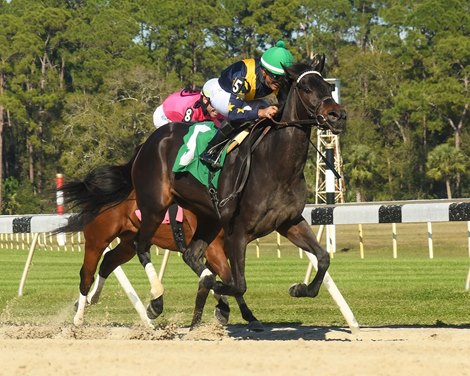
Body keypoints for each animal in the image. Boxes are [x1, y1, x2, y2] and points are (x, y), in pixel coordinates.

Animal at [57, 162, 260, 328]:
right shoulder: (213, 248)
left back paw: (91, 299)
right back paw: (79, 317)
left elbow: (216, 278)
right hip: (97, 240)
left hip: (128, 243)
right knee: (87, 274)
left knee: (108, 261)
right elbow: (227, 278)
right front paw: (243, 314)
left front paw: (227, 310)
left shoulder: (218, 250)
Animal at [129, 57, 346, 324]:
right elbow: (237, 283)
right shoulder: (237, 232)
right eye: (305, 88)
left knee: (190, 254)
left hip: (208, 217)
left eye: (328, 87)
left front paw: (299, 288)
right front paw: (222, 298)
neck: (275, 164)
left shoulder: (289, 221)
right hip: (154, 207)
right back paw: (156, 301)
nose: (337, 115)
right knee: (141, 246)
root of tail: (147, 143)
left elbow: (323, 258)